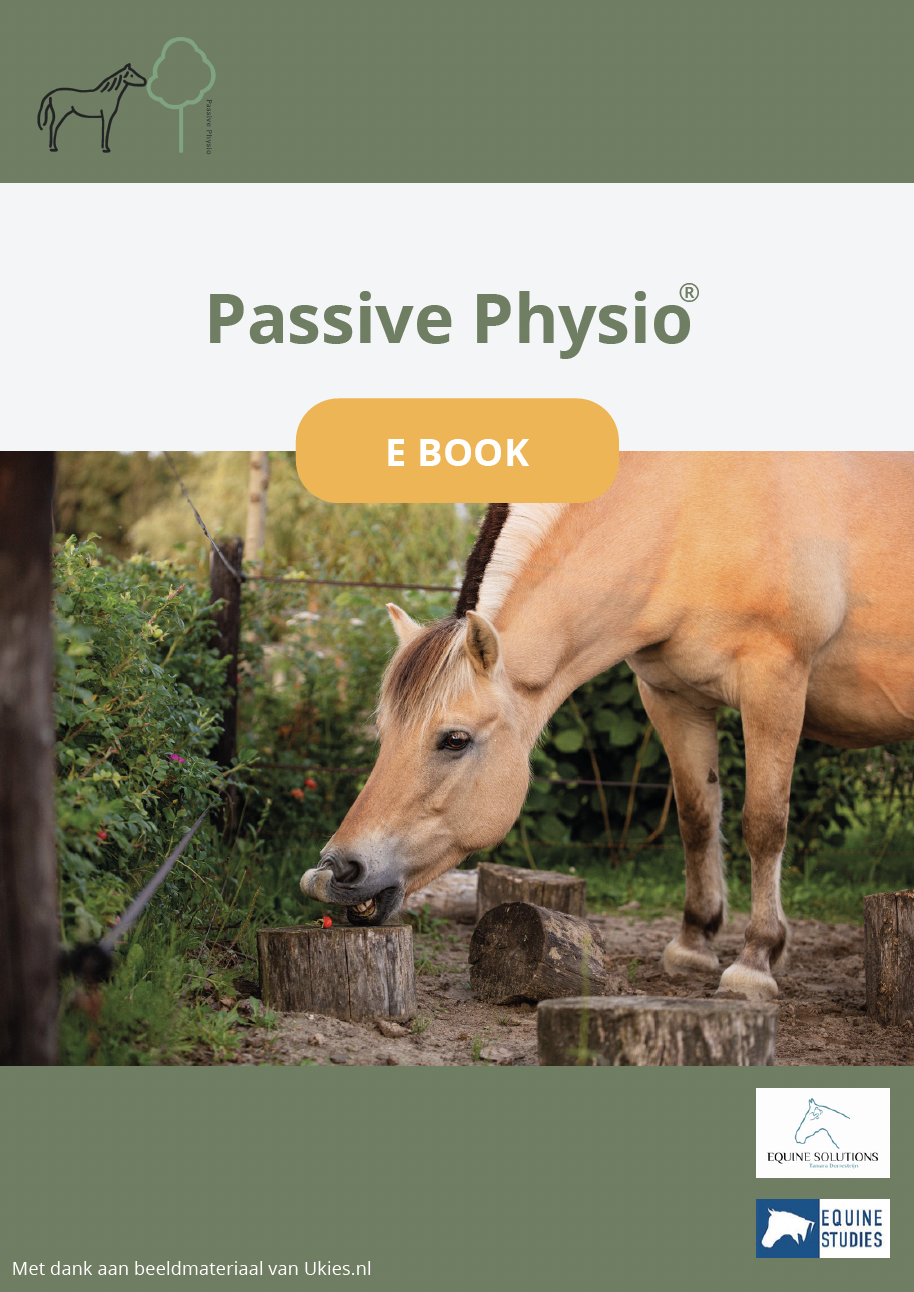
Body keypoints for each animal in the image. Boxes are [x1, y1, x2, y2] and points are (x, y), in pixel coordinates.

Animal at [301, 452, 914, 1001]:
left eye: (455, 740)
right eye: (383, 734)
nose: (337, 870)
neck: (690, 515)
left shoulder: (775, 684)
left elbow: (763, 825)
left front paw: (755, 961)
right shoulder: (671, 696)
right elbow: (696, 818)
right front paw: (693, 944)